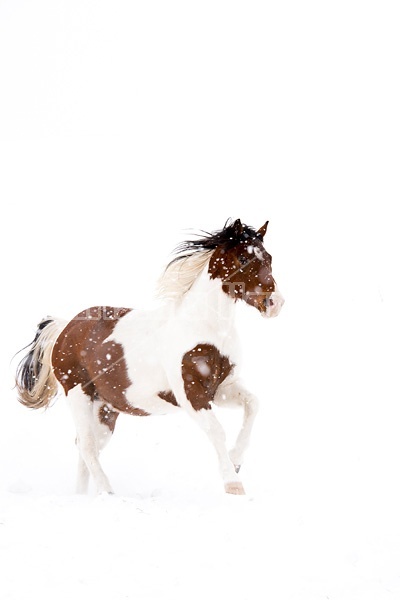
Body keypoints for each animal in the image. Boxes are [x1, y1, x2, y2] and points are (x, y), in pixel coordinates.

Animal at [15, 218, 284, 494]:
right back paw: (108, 491)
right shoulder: (191, 394)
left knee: (86, 448)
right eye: (243, 258)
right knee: (87, 447)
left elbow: (253, 404)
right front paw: (233, 484)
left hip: (105, 409)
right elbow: (217, 430)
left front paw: (236, 460)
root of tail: (64, 327)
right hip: (78, 394)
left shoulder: (222, 388)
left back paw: (85, 495)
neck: (205, 328)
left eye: (269, 258)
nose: (275, 303)